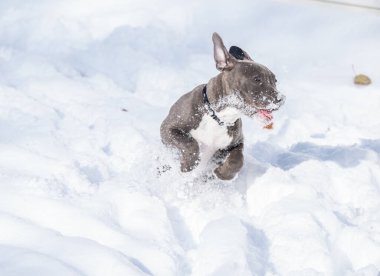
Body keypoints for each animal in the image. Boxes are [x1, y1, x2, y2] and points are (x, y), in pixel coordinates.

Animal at [160, 32, 284, 180]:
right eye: (257, 79)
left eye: (275, 81)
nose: (281, 99)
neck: (219, 117)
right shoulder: (168, 128)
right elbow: (190, 143)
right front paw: (188, 164)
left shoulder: (237, 142)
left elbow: (238, 160)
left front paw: (222, 173)